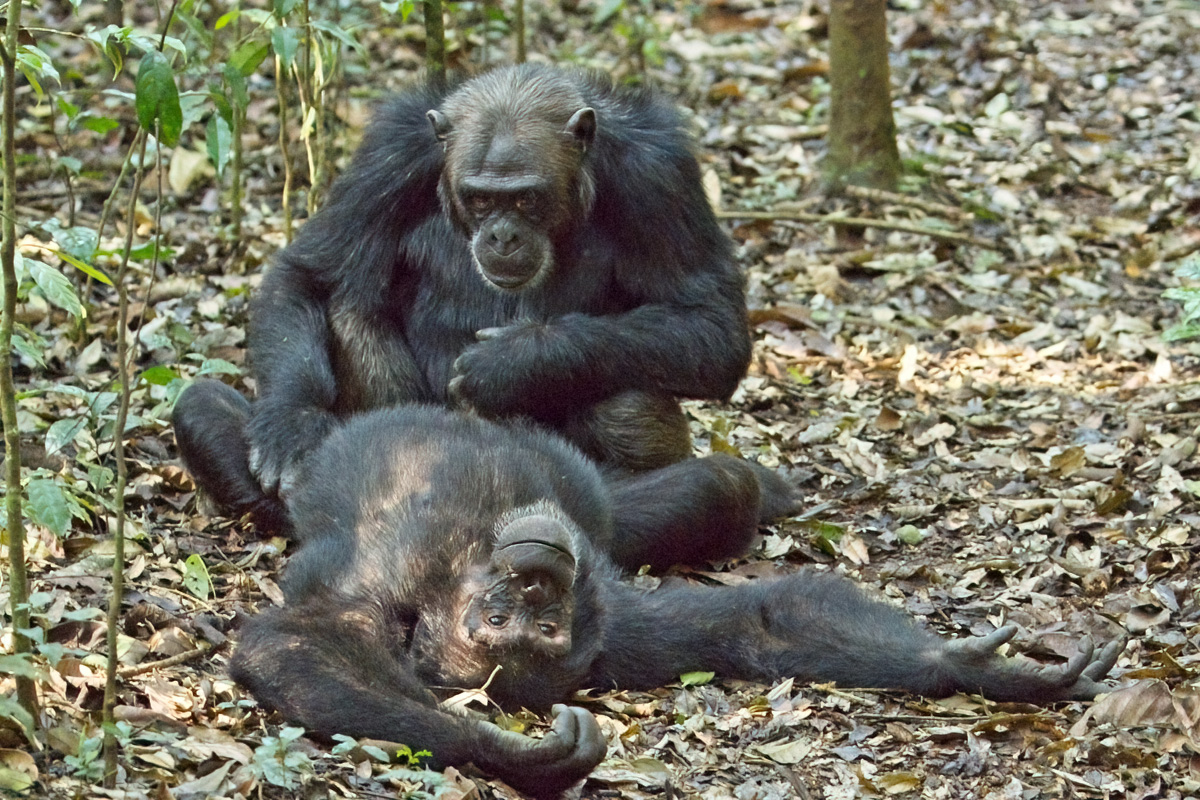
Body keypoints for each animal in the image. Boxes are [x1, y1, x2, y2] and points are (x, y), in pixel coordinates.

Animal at [175, 64, 768, 537]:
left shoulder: (660, 172)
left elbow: (711, 324)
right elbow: (310, 276)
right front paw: (291, 430)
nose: (502, 235)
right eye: (480, 199)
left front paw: (516, 362)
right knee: (323, 324)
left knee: (653, 422)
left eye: (526, 199)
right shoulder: (388, 154)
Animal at [229, 410, 1118, 796]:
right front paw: (522, 755)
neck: (461, 568)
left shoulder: (621, 633)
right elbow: (292, 645)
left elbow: (750, 625)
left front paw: (982, 666)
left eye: (543, 624)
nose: (538, 578)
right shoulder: (385, 582)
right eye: (501, 622)